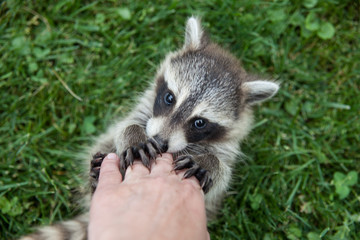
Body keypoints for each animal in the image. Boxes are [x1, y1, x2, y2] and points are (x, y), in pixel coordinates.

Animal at [21, 17, 278, 240]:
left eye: (200, 122)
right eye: (169, 98)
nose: (160, 142)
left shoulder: (227, 144)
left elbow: (222, 174)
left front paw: (209, 163)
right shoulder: (145, 107)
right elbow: (126, 125)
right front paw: (135, 136)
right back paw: (94, 176)